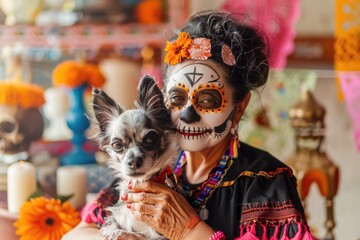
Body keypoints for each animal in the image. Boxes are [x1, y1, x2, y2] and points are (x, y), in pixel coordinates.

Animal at [91, 75, 179, 240]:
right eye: (117, 145)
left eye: (150, 139)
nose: (133, 161)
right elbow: (114, 226)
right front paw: (112, 231)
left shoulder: (159, 236)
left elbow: (136, 235)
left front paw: (119, 233)